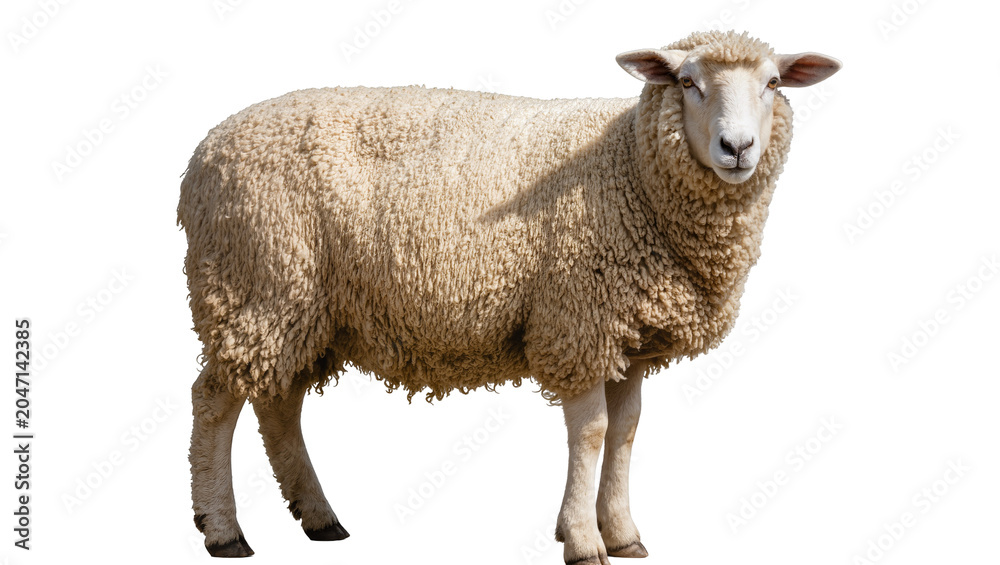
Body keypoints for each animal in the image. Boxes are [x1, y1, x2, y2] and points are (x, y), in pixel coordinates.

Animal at [179, 30, 840, 562]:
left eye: (773, 83)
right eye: (687, 82)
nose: (738, 148)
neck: (630, 165)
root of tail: (203, 157)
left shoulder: (628, 334)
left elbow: (626, 432)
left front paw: (623, 533)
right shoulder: (578, 322)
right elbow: (592, 433)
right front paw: (583, 540)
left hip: (301, 307)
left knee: (278, 403)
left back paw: (319, 518)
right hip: (256, 281)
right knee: (214, 402)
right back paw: (223, 531)